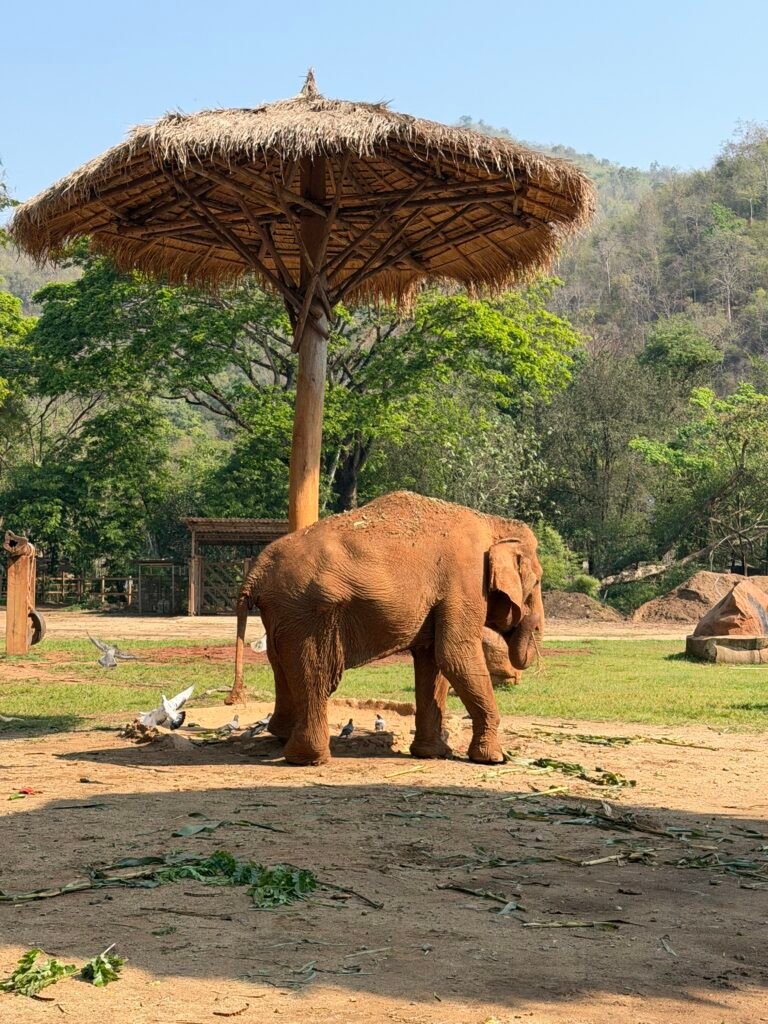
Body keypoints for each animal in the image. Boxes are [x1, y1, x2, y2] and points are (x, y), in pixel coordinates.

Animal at [229, 491, 543, 766]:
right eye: (538, 581)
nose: (533, 628)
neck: (492, 522)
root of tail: (256, 571)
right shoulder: (464, 582)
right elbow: (455, 656)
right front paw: (495, 759)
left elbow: (432, 660)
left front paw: (433, 754)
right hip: (305, 611)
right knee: (315, 672)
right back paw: (309, 759)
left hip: (281, 614)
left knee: (281, 664)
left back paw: (282, 738)